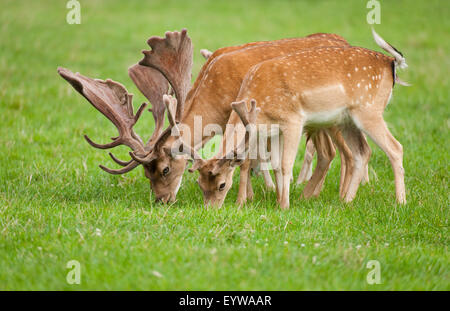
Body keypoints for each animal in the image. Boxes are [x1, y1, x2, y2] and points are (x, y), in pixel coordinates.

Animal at [186, 29, 408, 210]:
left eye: (222, 185)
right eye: (200, 184)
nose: (210, 210)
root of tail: (390, 63)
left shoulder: (293, 120)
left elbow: (284, 164)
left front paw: (281, 205)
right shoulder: (273, 129)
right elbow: (275, 163)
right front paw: (277, 200)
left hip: (368, 111)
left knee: (394, 148)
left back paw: (400, 202)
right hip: (347, 120)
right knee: (361, 152)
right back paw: (345, 201)